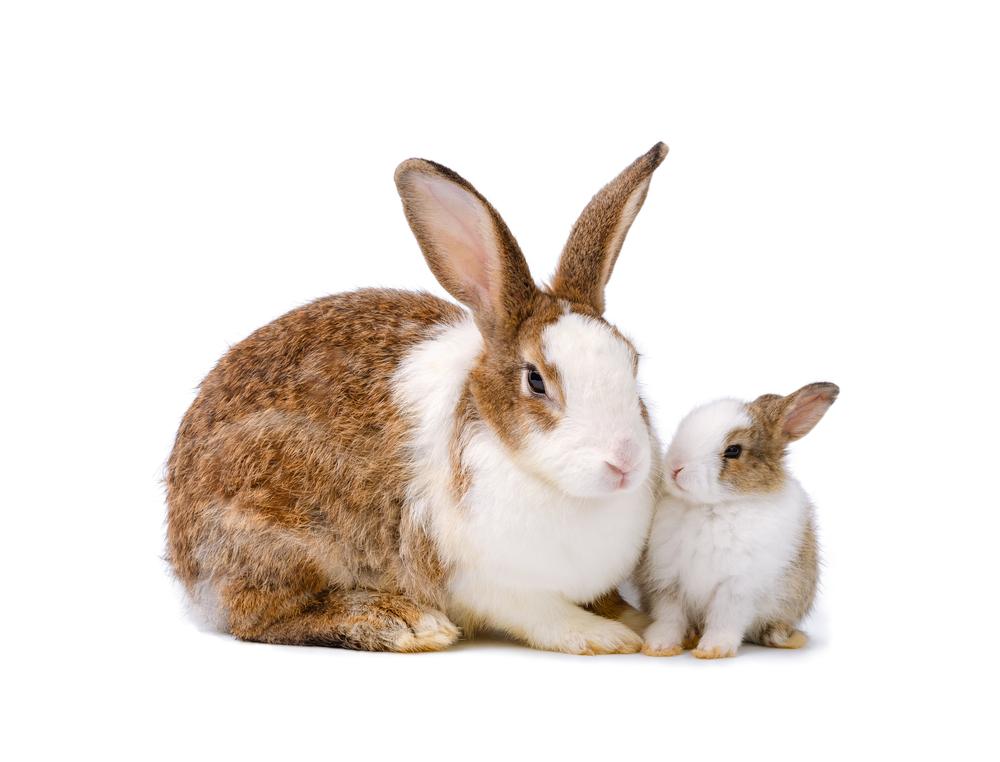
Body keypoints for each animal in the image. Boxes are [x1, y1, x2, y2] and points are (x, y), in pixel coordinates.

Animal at [166, 143, 669, 654]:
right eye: (536, 381)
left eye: (633, 361)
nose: (625, 463)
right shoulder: (487, 581)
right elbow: (543, 616)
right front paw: (605, 636)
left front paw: (639, 622)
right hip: (279, 528)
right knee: (260, 616)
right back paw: (402, 622)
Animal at [639, 382, 839, 659]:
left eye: (734, 450)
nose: (675, 467)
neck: (712, 507)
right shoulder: (668, 581)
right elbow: (670, 617)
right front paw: (659, 646)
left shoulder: (736, 587)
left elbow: (724, 619)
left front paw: (713, 649)